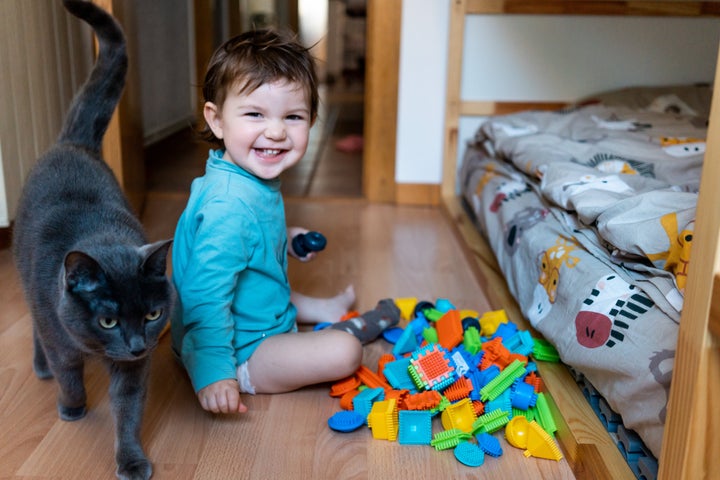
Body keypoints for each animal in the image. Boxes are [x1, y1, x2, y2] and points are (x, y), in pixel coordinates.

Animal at [13, 1, 174, 478]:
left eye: (153, 314)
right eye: (107, 320)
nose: (138, 344)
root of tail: (74, 143)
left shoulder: (134, 370)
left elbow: (128, 409)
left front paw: (131, 460)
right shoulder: (59, 331)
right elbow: (68, 372)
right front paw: (71, 408)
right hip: (29, 282)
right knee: (37, 328)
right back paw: (40, 368)